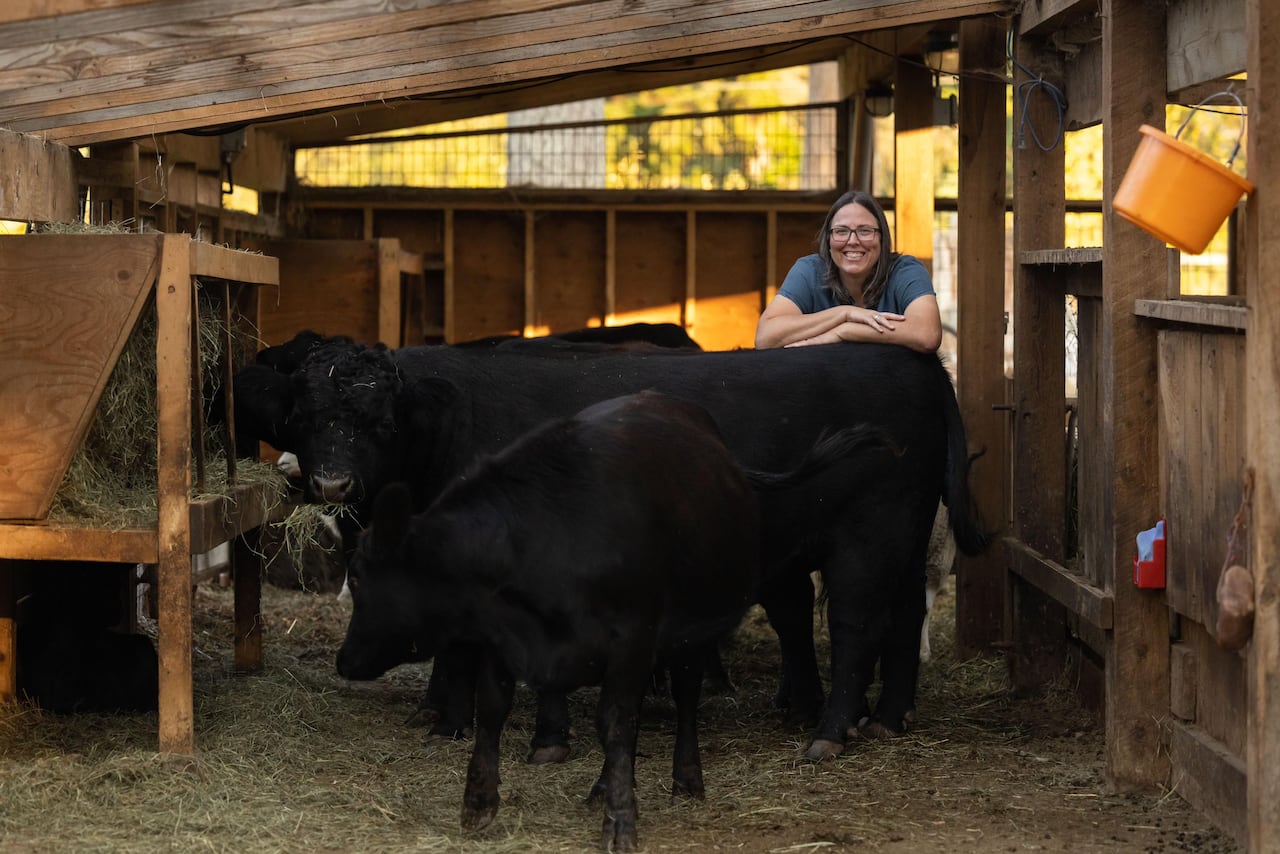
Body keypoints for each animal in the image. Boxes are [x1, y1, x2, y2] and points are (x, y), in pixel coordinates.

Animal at [238, 332, 988, 763]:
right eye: (304, 415)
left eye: (381, 421)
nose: (333, 481)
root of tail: (920, 363)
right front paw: (449, 716)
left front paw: (495, 729)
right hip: (905, 536)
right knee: (902, 618)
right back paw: (885, 718)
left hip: (873, 531)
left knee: (858, 625)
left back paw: (830, 732)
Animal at [340, 394, 896, 854]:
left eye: (360, 573)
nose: (344, 661)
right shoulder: (503, 638)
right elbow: (494, 710)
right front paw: (478, 802)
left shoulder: (632, 641)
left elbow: (615, 724)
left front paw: (621, 822)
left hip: (689, 636)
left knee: (685, 700)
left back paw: (686, 779)